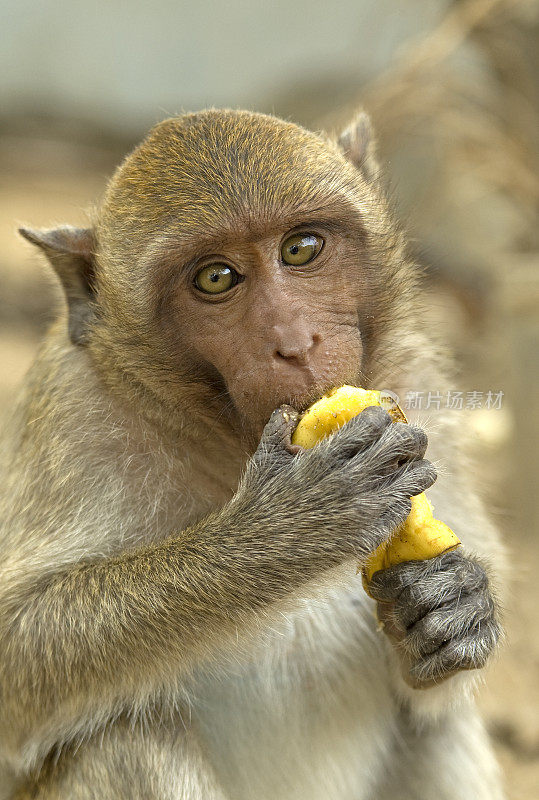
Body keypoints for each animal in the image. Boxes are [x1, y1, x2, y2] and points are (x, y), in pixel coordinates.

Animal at [0, 108, 504, 800]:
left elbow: (436, 696)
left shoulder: (419, 381)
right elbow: (18, 654)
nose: (294, 342)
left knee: (441, 732)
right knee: (124, 737)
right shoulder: (71, 414)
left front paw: (453, 605)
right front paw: (288, 527)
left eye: (300, 249)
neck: (231, 444)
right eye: (216, 279)